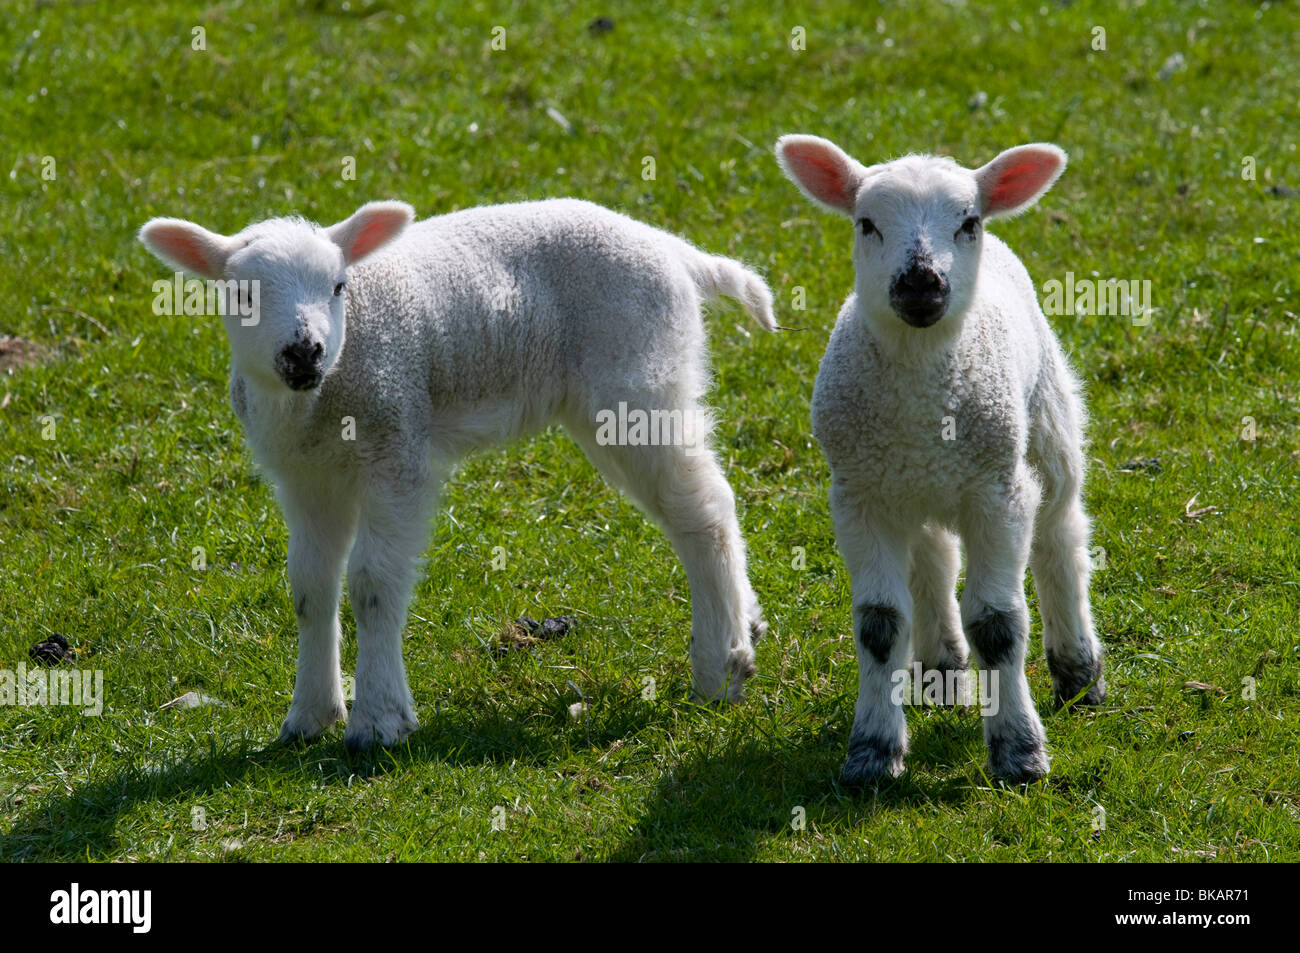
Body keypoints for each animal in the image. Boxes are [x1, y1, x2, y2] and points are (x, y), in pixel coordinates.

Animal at [138, 198, 774, 752]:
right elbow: (309, 588)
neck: (319, 399)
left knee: (703, 508)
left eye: (339, 287)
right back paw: (746, 624)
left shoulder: (396, 449)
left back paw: (720, 668)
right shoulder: (305, 478)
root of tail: (676, 252)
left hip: (638, 378)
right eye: (240, 294)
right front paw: (310, 716)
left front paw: (378, 721)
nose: (305, 352)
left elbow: (372, 583)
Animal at [774, 135, 1105, 784]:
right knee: (932, 554)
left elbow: (998, 624)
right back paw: (942, 670)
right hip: (914, 484)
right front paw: (873, 752)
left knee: (1060, 537)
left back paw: (1078, 672)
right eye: (867, 223)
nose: (921, 283)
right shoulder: (859, 496)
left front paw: (1019, 752)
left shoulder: (998, 493)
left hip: (1046, 427)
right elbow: (878, 624)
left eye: (967, 222)